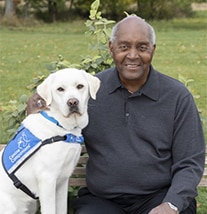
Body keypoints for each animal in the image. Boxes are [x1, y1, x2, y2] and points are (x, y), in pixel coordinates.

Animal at [0, 68, 100, 214]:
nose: (73, 102)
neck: (61, 126)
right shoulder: (47, 179)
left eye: (80, 86)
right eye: (60, 89)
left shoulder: (63, 180)